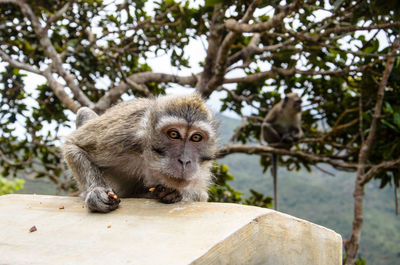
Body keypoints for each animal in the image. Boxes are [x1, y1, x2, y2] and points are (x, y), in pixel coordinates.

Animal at [61, 93, 219, 212]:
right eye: (173, 134)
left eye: (196, 137)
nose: (185, 161)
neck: (150, 159)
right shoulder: (123, 137)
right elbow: (74, 145)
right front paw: (96, 192)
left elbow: (200, 196)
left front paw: (169, 193)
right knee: (83, 112)